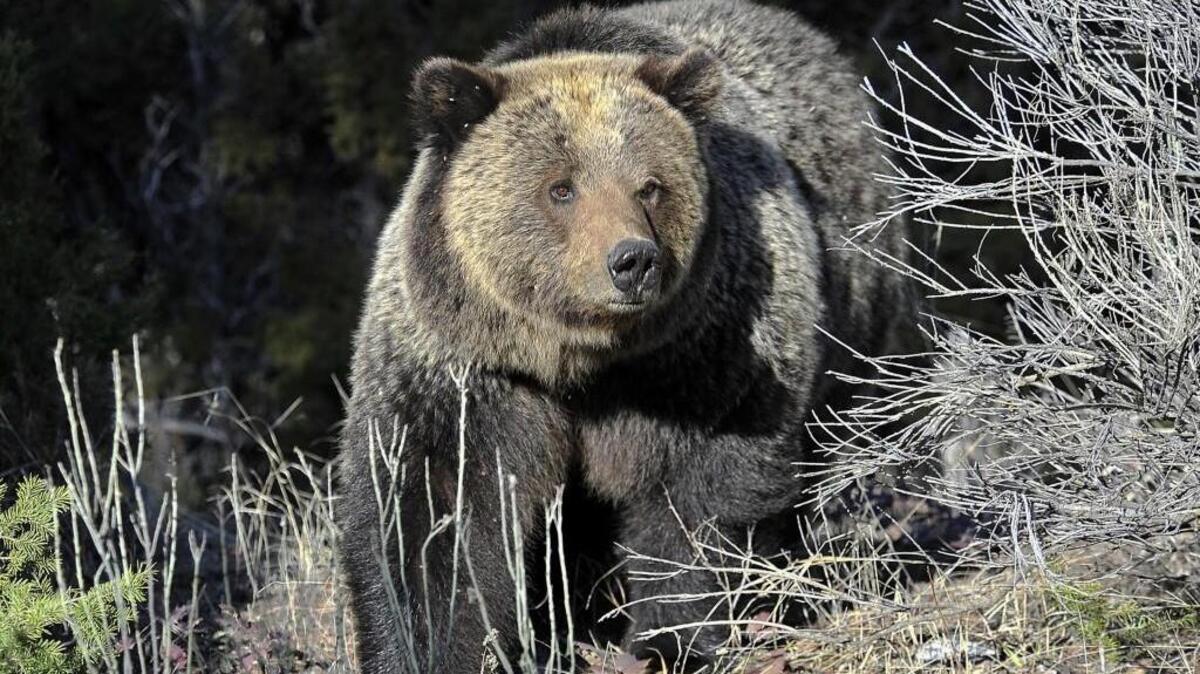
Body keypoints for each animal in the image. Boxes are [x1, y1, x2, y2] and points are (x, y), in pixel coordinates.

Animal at [337, 1, 911, 671]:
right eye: (561, 187)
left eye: (650, 185)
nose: (632, 260)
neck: (581, 359)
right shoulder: (467, 370)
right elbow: (435, 516)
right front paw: (432, 646)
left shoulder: (705, 355)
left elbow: (699, 501)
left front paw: (671, 640)